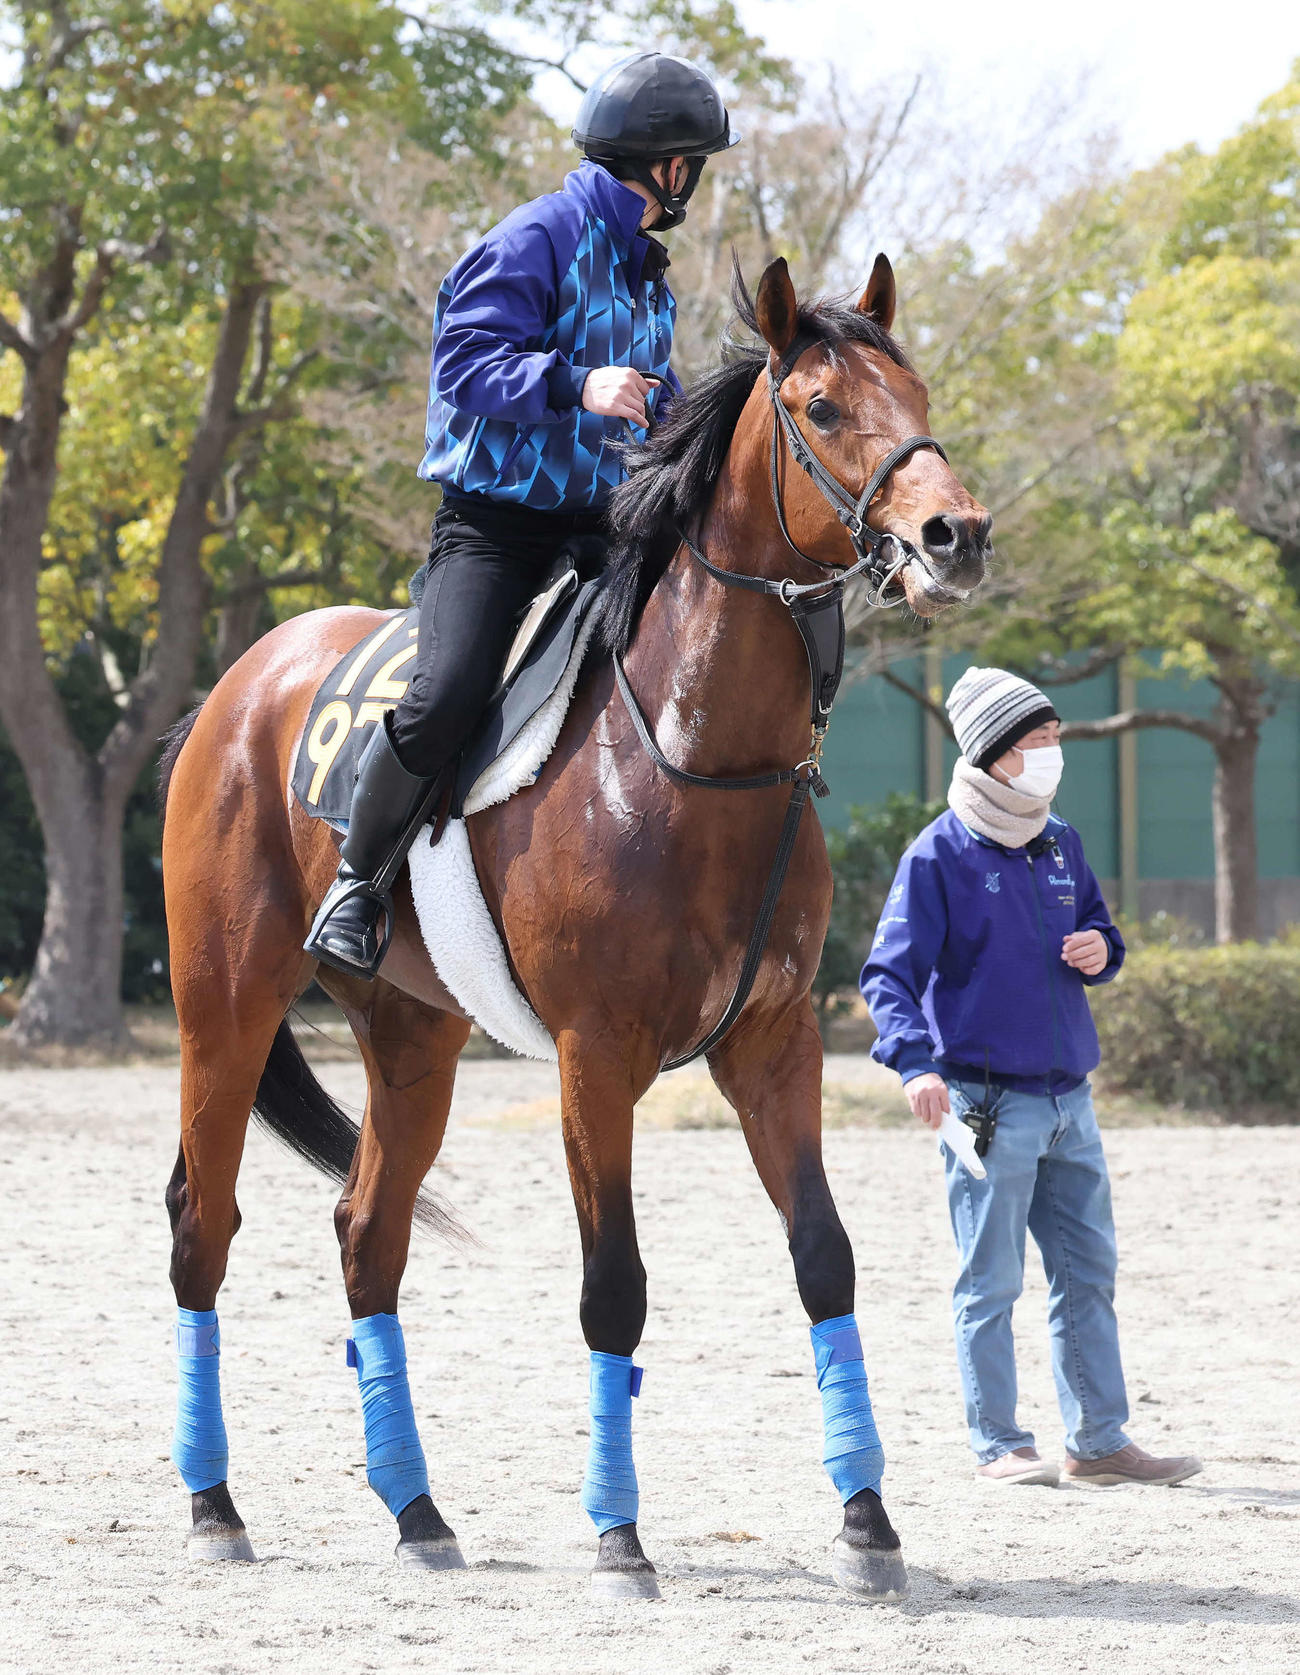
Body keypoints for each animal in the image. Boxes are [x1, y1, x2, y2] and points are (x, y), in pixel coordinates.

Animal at [159, 254, 991, 1599]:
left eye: (915, 393)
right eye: (818, 406)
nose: (952, 535)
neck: (692, 755)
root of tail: (229, 693)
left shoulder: (776, 1047)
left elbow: (824, 1257)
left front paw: (867, 1520)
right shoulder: (594, 1060)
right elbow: (615, 1289)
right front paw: (618, 1533)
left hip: (413, 1042)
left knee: (367, 1234)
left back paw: (417, 1512)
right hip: (223, 1011)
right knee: (203, 1224)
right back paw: (213, 1501)